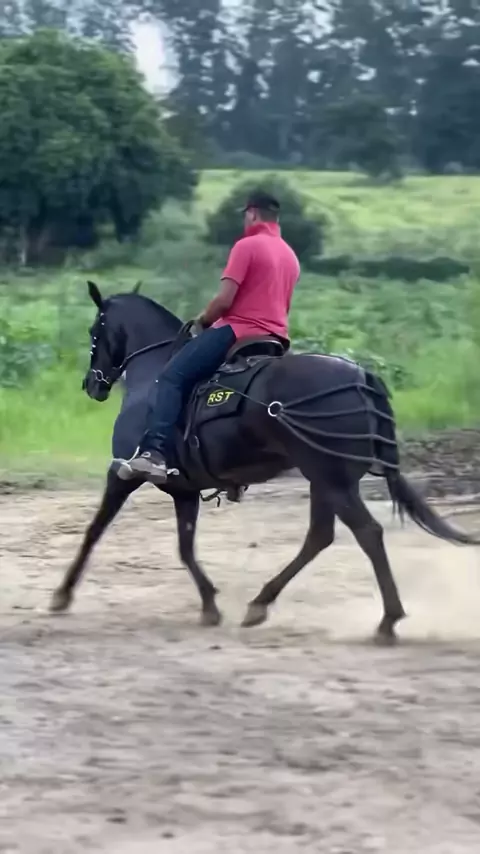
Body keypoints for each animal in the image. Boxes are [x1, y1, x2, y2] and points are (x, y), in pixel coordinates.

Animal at [50, 280, 479, 643]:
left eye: (94, 331)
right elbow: (185, 547)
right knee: (320, 537)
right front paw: (209, 604)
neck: (154, 375)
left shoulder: (122, 473)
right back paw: (261, 603)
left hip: (332, 480)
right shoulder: (183, 489)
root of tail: (360, 376)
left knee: (367, 533)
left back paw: (388, 620)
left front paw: (62, 594)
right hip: (325, 480)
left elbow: (94, 531)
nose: (92, 384)